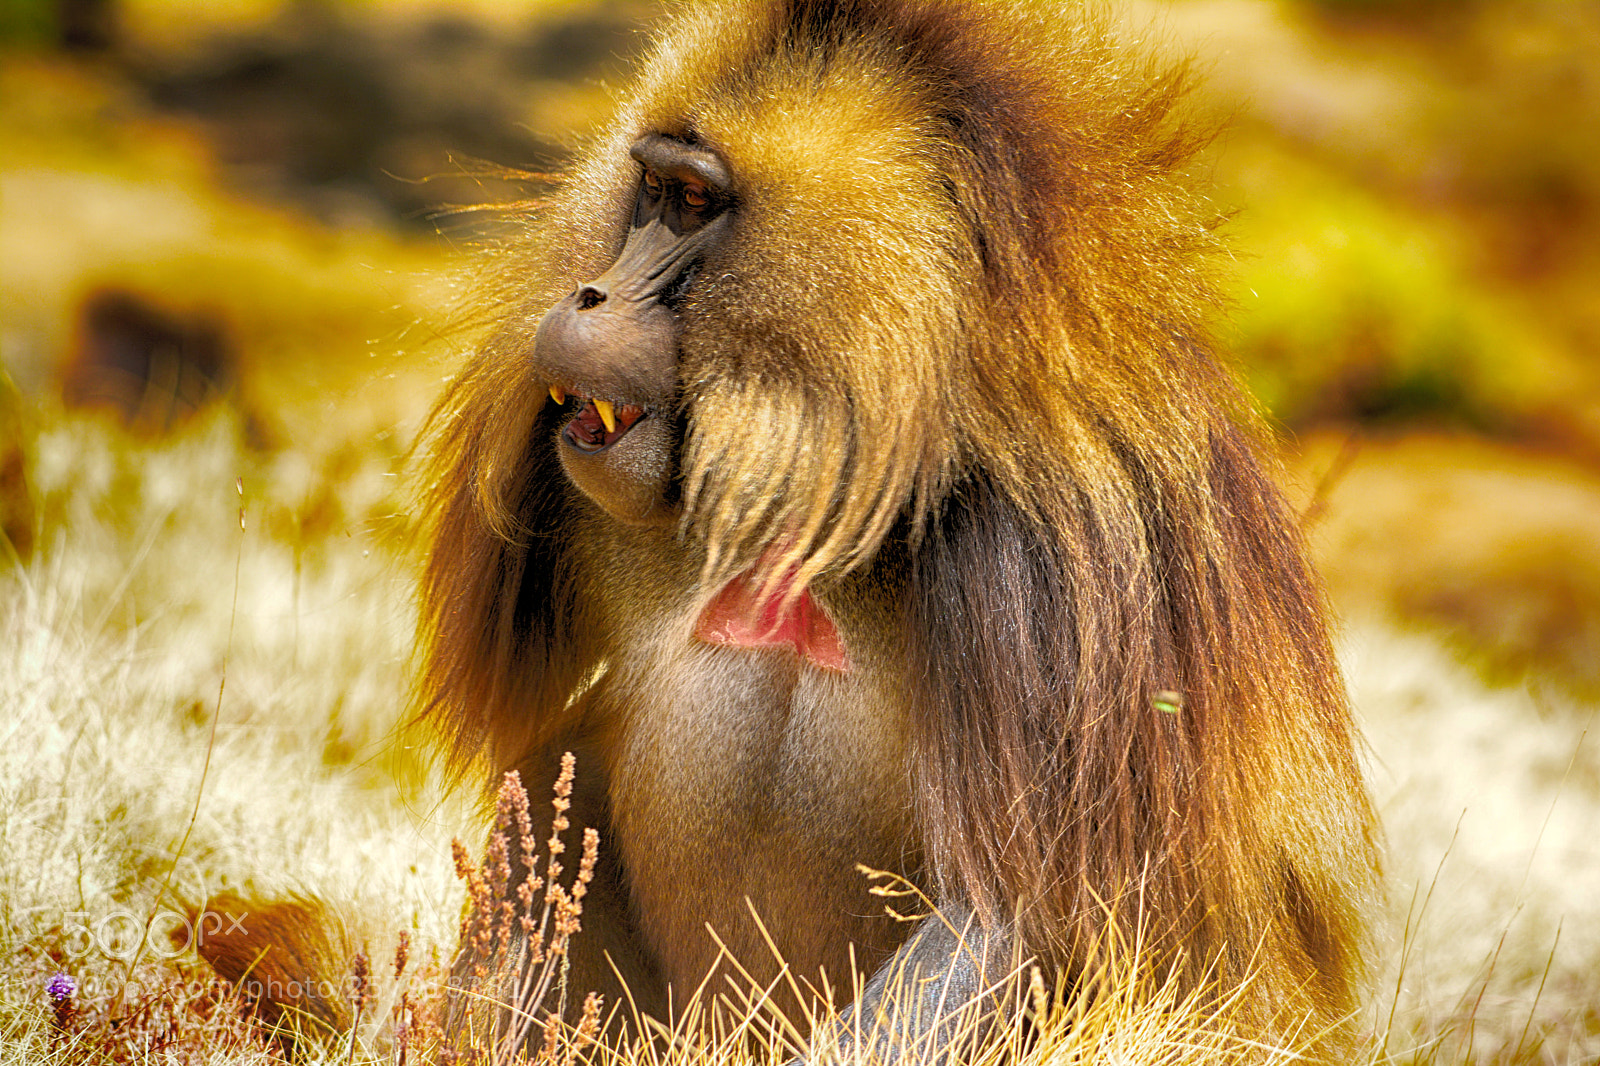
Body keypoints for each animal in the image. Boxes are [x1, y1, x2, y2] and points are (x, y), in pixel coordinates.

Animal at [196, 0, 1381, 1060]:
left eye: (691, 202)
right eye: (647, 193)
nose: (586, 298)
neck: (873, 468)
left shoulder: (1055, 565)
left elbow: (1013, 914)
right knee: (555, 795)